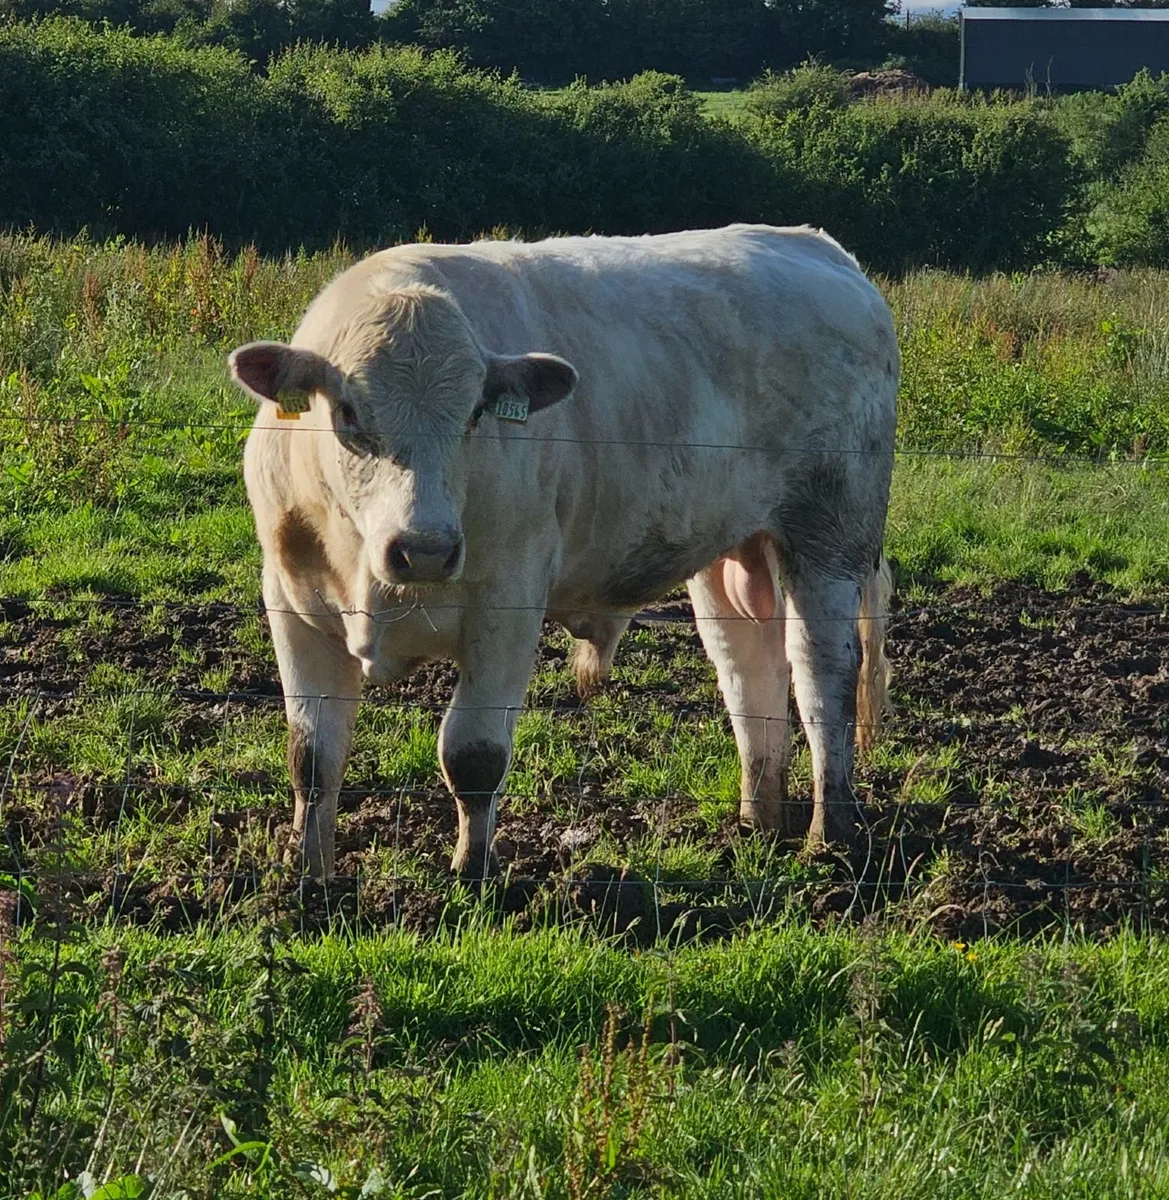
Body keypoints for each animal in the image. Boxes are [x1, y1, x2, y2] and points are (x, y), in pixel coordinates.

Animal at [229, 224, 898, 880]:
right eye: (347, 412)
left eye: (475, 413)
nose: (425, 550)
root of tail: (816, 245)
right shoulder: (290, 605)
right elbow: (312, 757)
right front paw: (306, 874)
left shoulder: (508, 606)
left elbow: (473, 754)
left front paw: (473, 876)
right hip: (728, 552)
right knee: (748, 665)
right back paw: (757, 821)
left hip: (831, 537)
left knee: (823, 675)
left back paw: (829, 834)